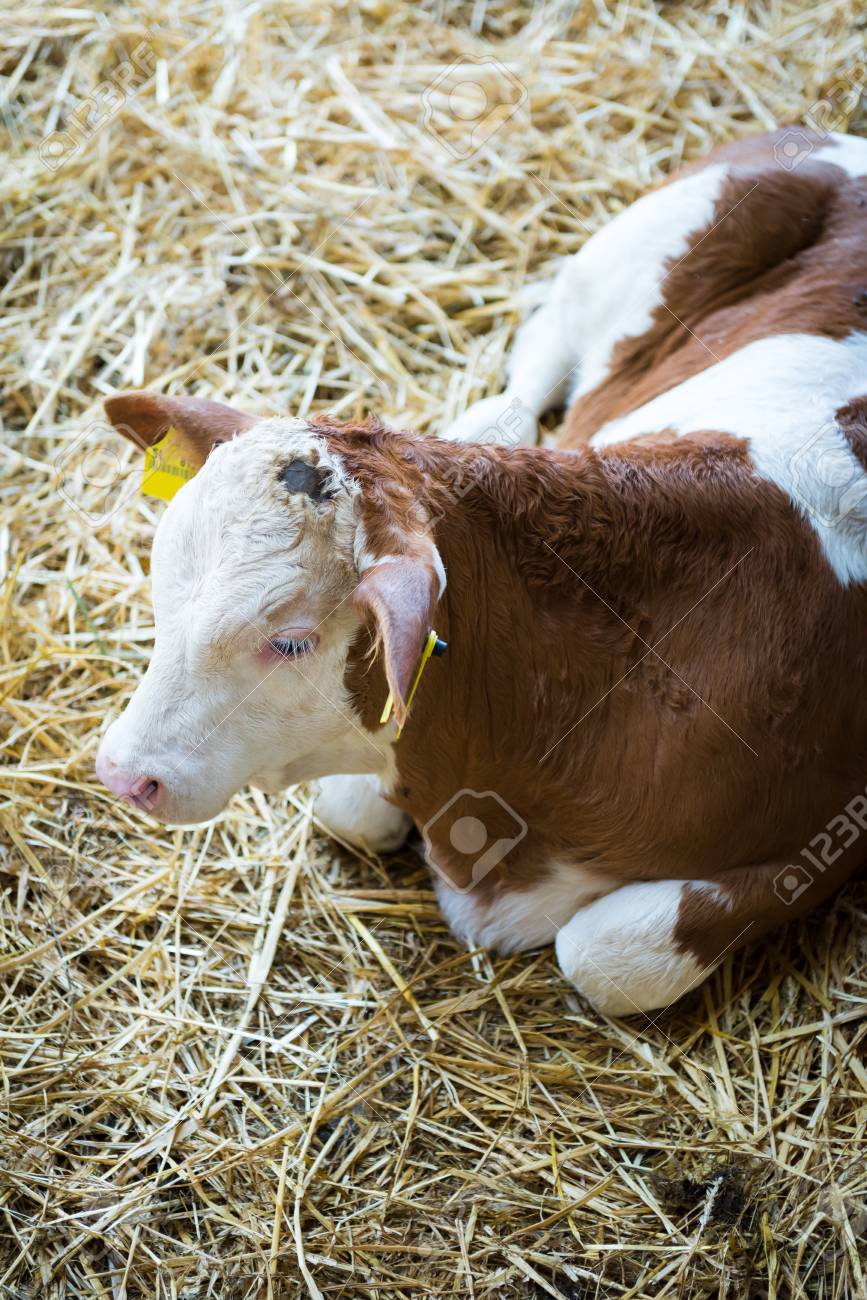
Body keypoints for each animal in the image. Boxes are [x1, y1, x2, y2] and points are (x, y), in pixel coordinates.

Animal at [95, 128, 867, 1016]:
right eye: (163, 594)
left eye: (290, 642)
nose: (123, 773)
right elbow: (350, 810)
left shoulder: (829, 833)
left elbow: (609, 954)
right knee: (522, 382)